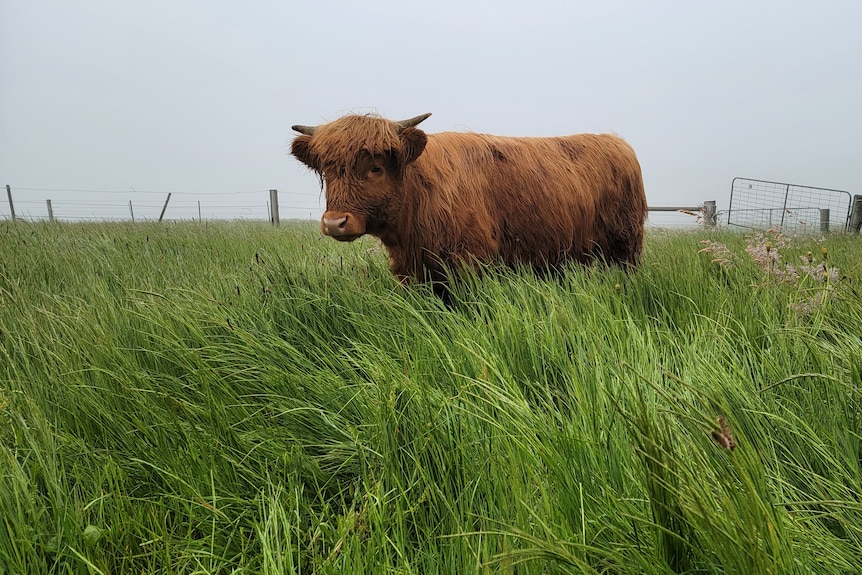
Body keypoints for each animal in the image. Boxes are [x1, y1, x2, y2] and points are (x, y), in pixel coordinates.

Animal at [290, 112, 648, 286]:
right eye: (328, 171)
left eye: (376, 167)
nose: (335, 223)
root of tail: (617, 141)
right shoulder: (412, 271)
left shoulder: (471, 262)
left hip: (625, 245)